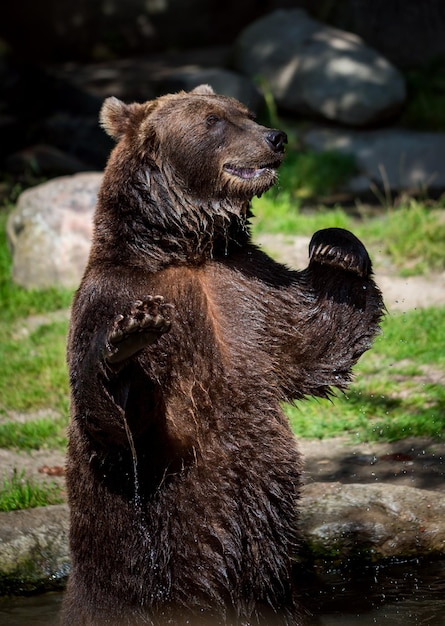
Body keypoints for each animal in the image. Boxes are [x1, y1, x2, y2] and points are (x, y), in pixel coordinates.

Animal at [63, 84, 386, 624]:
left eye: (246, 113)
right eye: (213, 120)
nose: (275, 137)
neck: (183, 249)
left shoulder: (246, 292)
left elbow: (314, 339)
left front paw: (337, 246)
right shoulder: (109, 298)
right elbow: (115, 426)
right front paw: (128, 341)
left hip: (273, 596)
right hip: (130, 584)